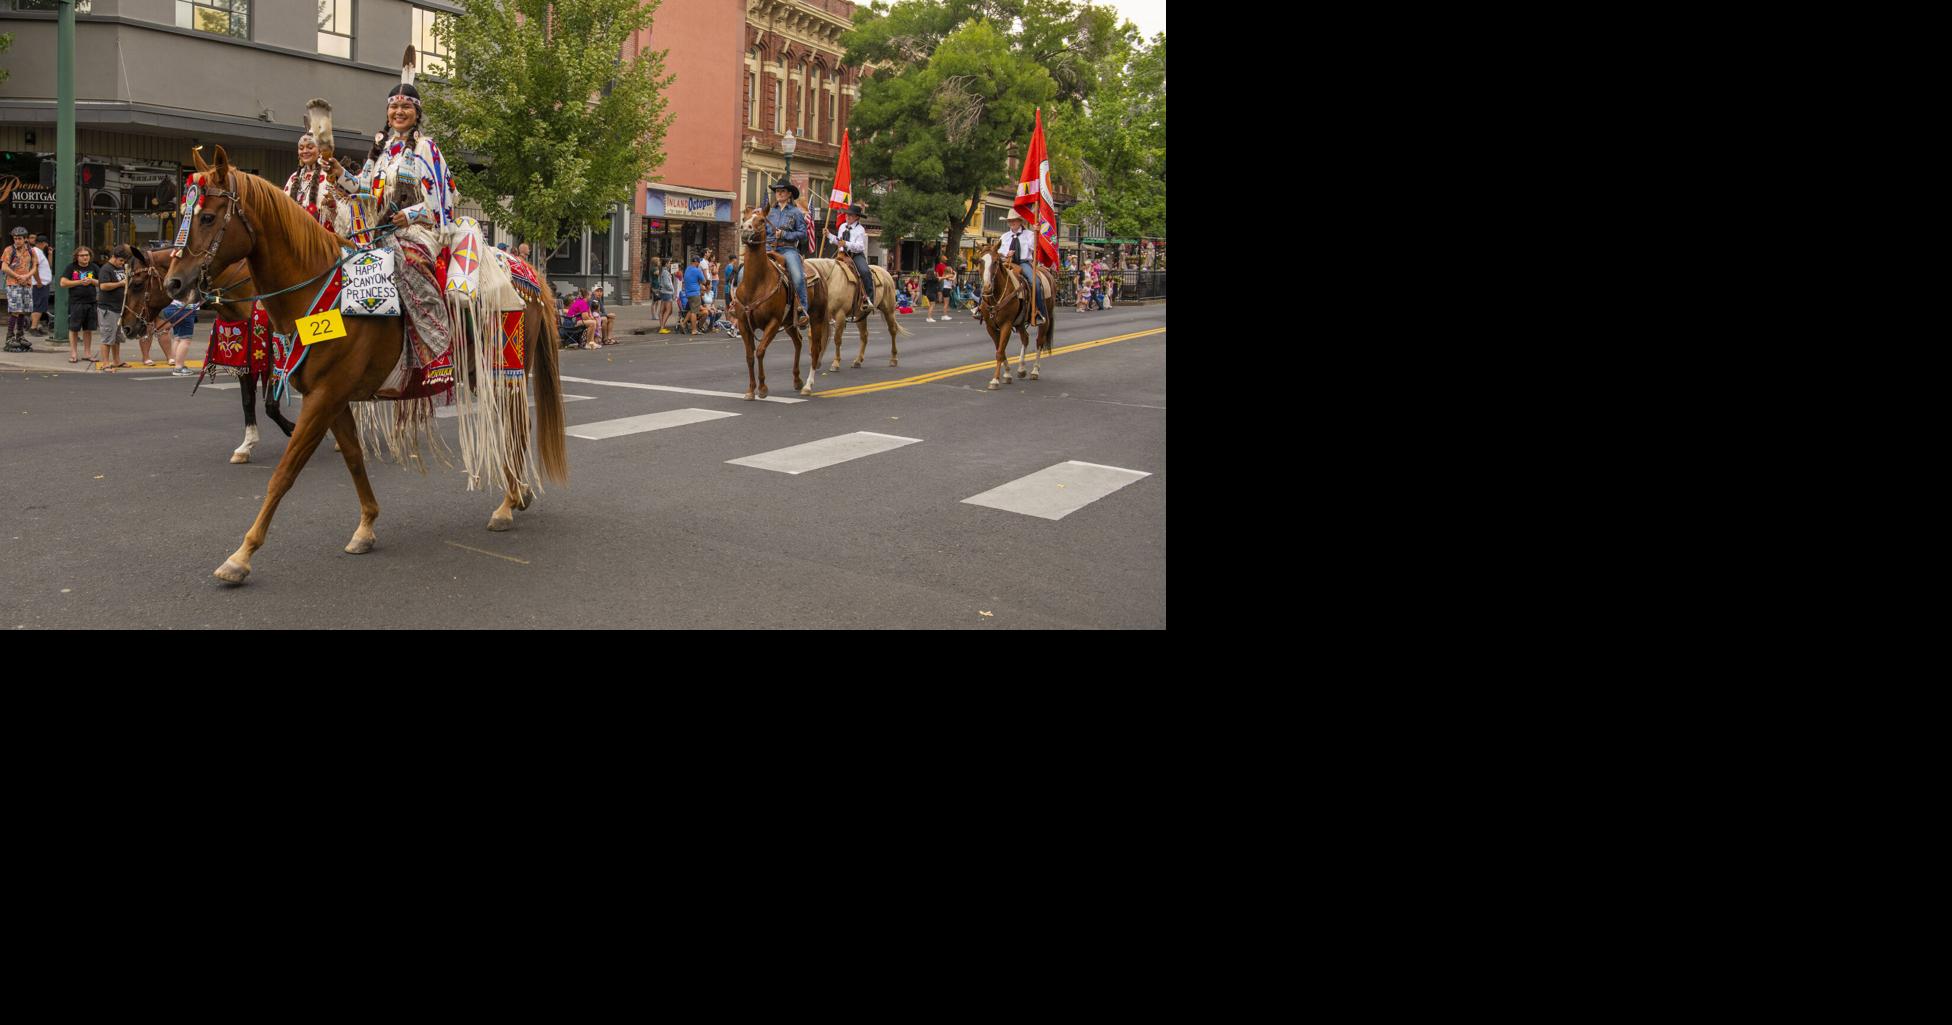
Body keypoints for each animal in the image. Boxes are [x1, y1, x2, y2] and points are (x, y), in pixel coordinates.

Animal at [119, 246, 296, 460]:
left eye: (137, 284)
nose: (125, 328)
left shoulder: (275, 354)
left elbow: (271, 404)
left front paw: (294, 428)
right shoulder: (244, 358)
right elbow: (247, 400)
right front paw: (247, 445)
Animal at [163, 147, 569, 585]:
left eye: (207, 217)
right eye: (183, 212)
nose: (173, 283)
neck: (319, 288)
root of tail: (529, 273)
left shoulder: (324, 398)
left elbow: (284, 474)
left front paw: (241, 555)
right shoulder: (332, 398)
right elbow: (354, 459)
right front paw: (366, 527)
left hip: (504, 369)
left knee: (515, 426)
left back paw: (509, 503)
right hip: (481, 373)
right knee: (509, 427)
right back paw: (518, 494)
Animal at [733, 205, 823, 400]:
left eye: (761, 220)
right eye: (744, 218)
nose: (745, 230)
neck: (757, 283)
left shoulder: (773, 322)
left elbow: (760, 351)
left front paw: (763, 388)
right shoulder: (744, 324)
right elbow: (749, 356)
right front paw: (751, 390)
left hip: (817, 319)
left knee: (815, 349)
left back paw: (808, 385)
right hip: (789, 323)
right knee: (798, 342)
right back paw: (797, 380)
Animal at [972, 238, 1054, 390]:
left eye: (995, 261)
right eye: (980, 261)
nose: (986, 287)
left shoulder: (1006, 324)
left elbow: (1000, 352)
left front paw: (995, 380)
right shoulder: (990, 327)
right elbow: (1001, 350)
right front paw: (1007, 374)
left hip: (1045, 319)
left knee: (1039, 341)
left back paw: (1035, 371)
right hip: (1020, 322)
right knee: (1025, 338)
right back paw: (1021, 369)